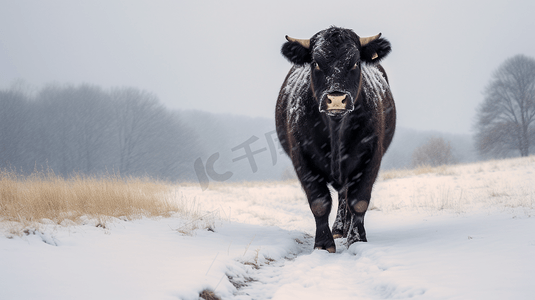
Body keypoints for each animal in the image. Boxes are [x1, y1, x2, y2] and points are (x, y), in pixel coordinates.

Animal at [278, 27, 396, 253]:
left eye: (356, 62)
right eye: (315, 62)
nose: (336, 99)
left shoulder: (371, 156)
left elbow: (359, 201)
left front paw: (357, 239)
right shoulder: (302, 158)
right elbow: (319, 203)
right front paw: (324, 245)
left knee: (346, 197)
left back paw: (344, 229)